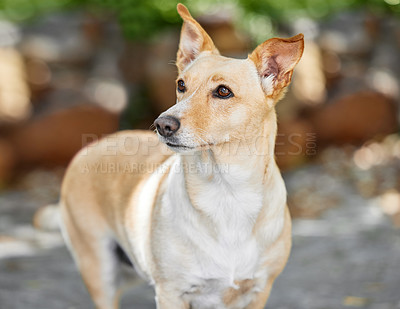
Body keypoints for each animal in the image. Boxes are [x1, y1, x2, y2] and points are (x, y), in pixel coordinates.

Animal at [35, 3, 304, 306]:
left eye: (223, 91)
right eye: (181, 85)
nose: (162, 124)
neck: (226, 192)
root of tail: (90, 147)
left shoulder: (259, 291)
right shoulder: (170, 293)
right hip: (100, 273)